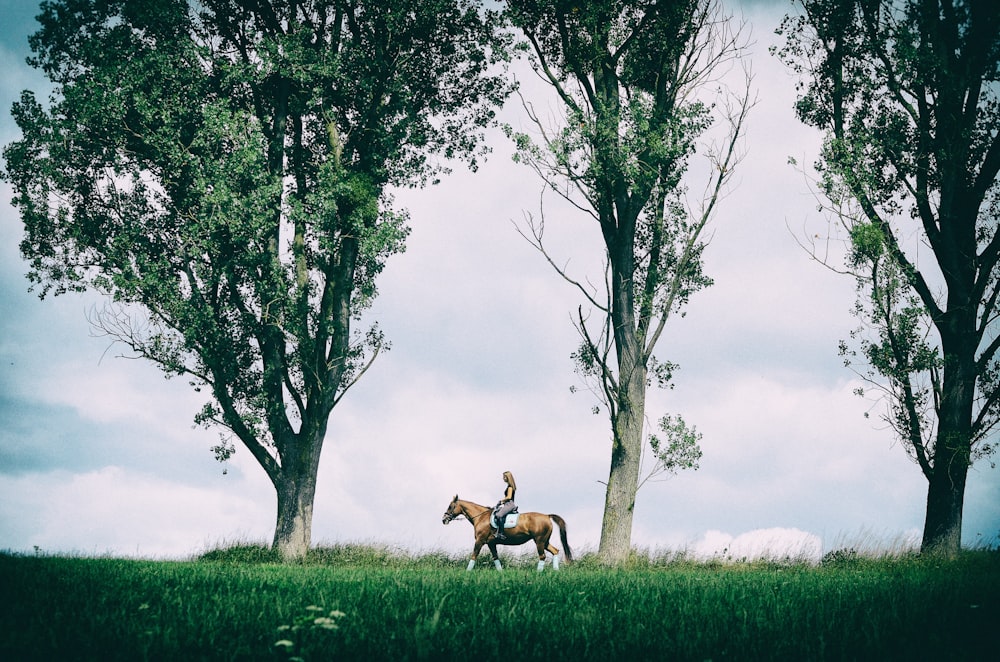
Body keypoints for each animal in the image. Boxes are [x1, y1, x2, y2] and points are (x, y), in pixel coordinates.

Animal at [442, 496, 576, 572]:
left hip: (539, 541)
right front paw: (500, 573)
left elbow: (474, 555)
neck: (480, 517)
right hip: (545, 541)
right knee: (555, 551)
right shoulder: (491, 543)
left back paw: (539, 573)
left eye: (450, 506)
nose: (444, 519)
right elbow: (496, 558)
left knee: (542, 556)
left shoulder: (479, 541)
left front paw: (467, 572)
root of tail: (547, 516)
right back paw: (556, 570)